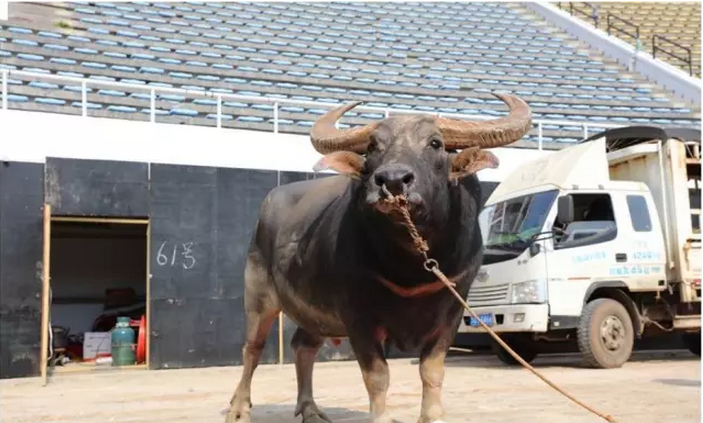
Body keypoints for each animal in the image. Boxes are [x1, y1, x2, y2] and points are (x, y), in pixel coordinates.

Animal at [227, 93, 532, 423]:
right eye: (373, 146)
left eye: (435, 143)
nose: (393, 180)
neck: (412, 264)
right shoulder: (358, 317)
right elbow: (377, 376)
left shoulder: (452, 310)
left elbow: (432, 371)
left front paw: (432, 416)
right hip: (258, 296)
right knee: (252, 349)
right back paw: (238, 409)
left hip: (314, 312)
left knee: (303, 347)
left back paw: (310, 409)